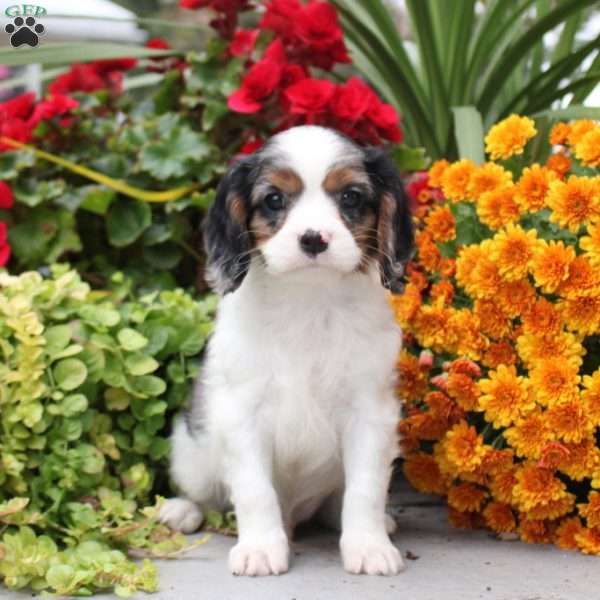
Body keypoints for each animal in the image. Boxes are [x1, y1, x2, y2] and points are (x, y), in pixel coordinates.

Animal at [158, 125, 412, 576]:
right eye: (274, 199)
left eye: (351, 197)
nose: (313, 239)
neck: (308, 298)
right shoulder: (241, 414)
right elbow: (255, 490)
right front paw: (260, 548)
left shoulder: (370, 414)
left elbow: (365, 489)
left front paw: (368, 546)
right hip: (191, 452)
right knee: (205, 493)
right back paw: (183, 510)